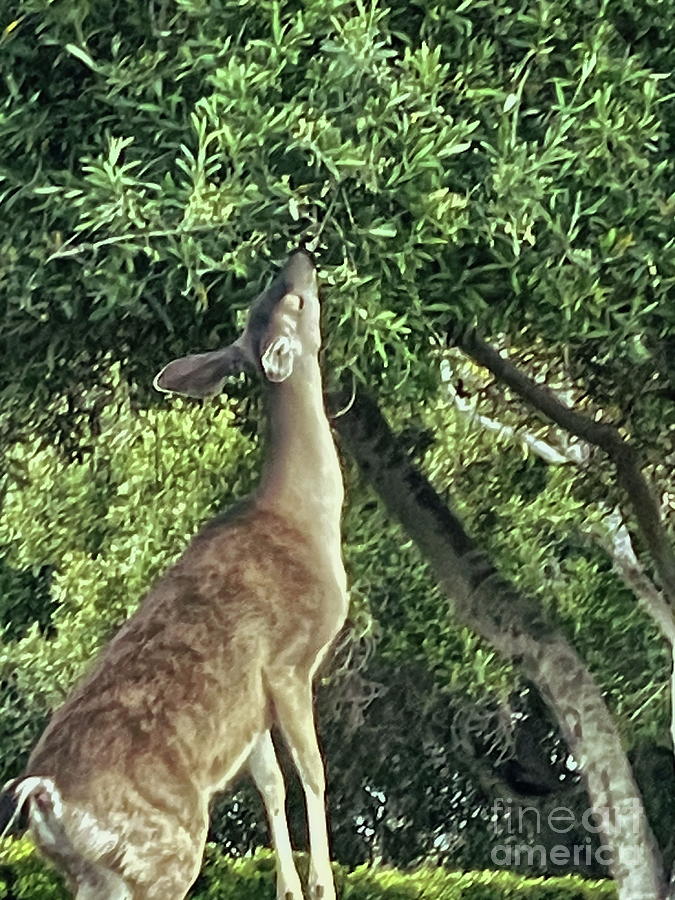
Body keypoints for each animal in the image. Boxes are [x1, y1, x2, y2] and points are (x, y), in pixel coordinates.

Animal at [0, 251, 348, 900]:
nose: (300, 258)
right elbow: (313, 771)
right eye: (296, 302)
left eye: (266, 300)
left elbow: (271, 782)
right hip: (166, 847)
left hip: (97, 875)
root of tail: (45, 798)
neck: (304, 516)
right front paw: (320, 883)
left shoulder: (251, 700)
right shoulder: (291, 659)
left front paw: (288, 886)